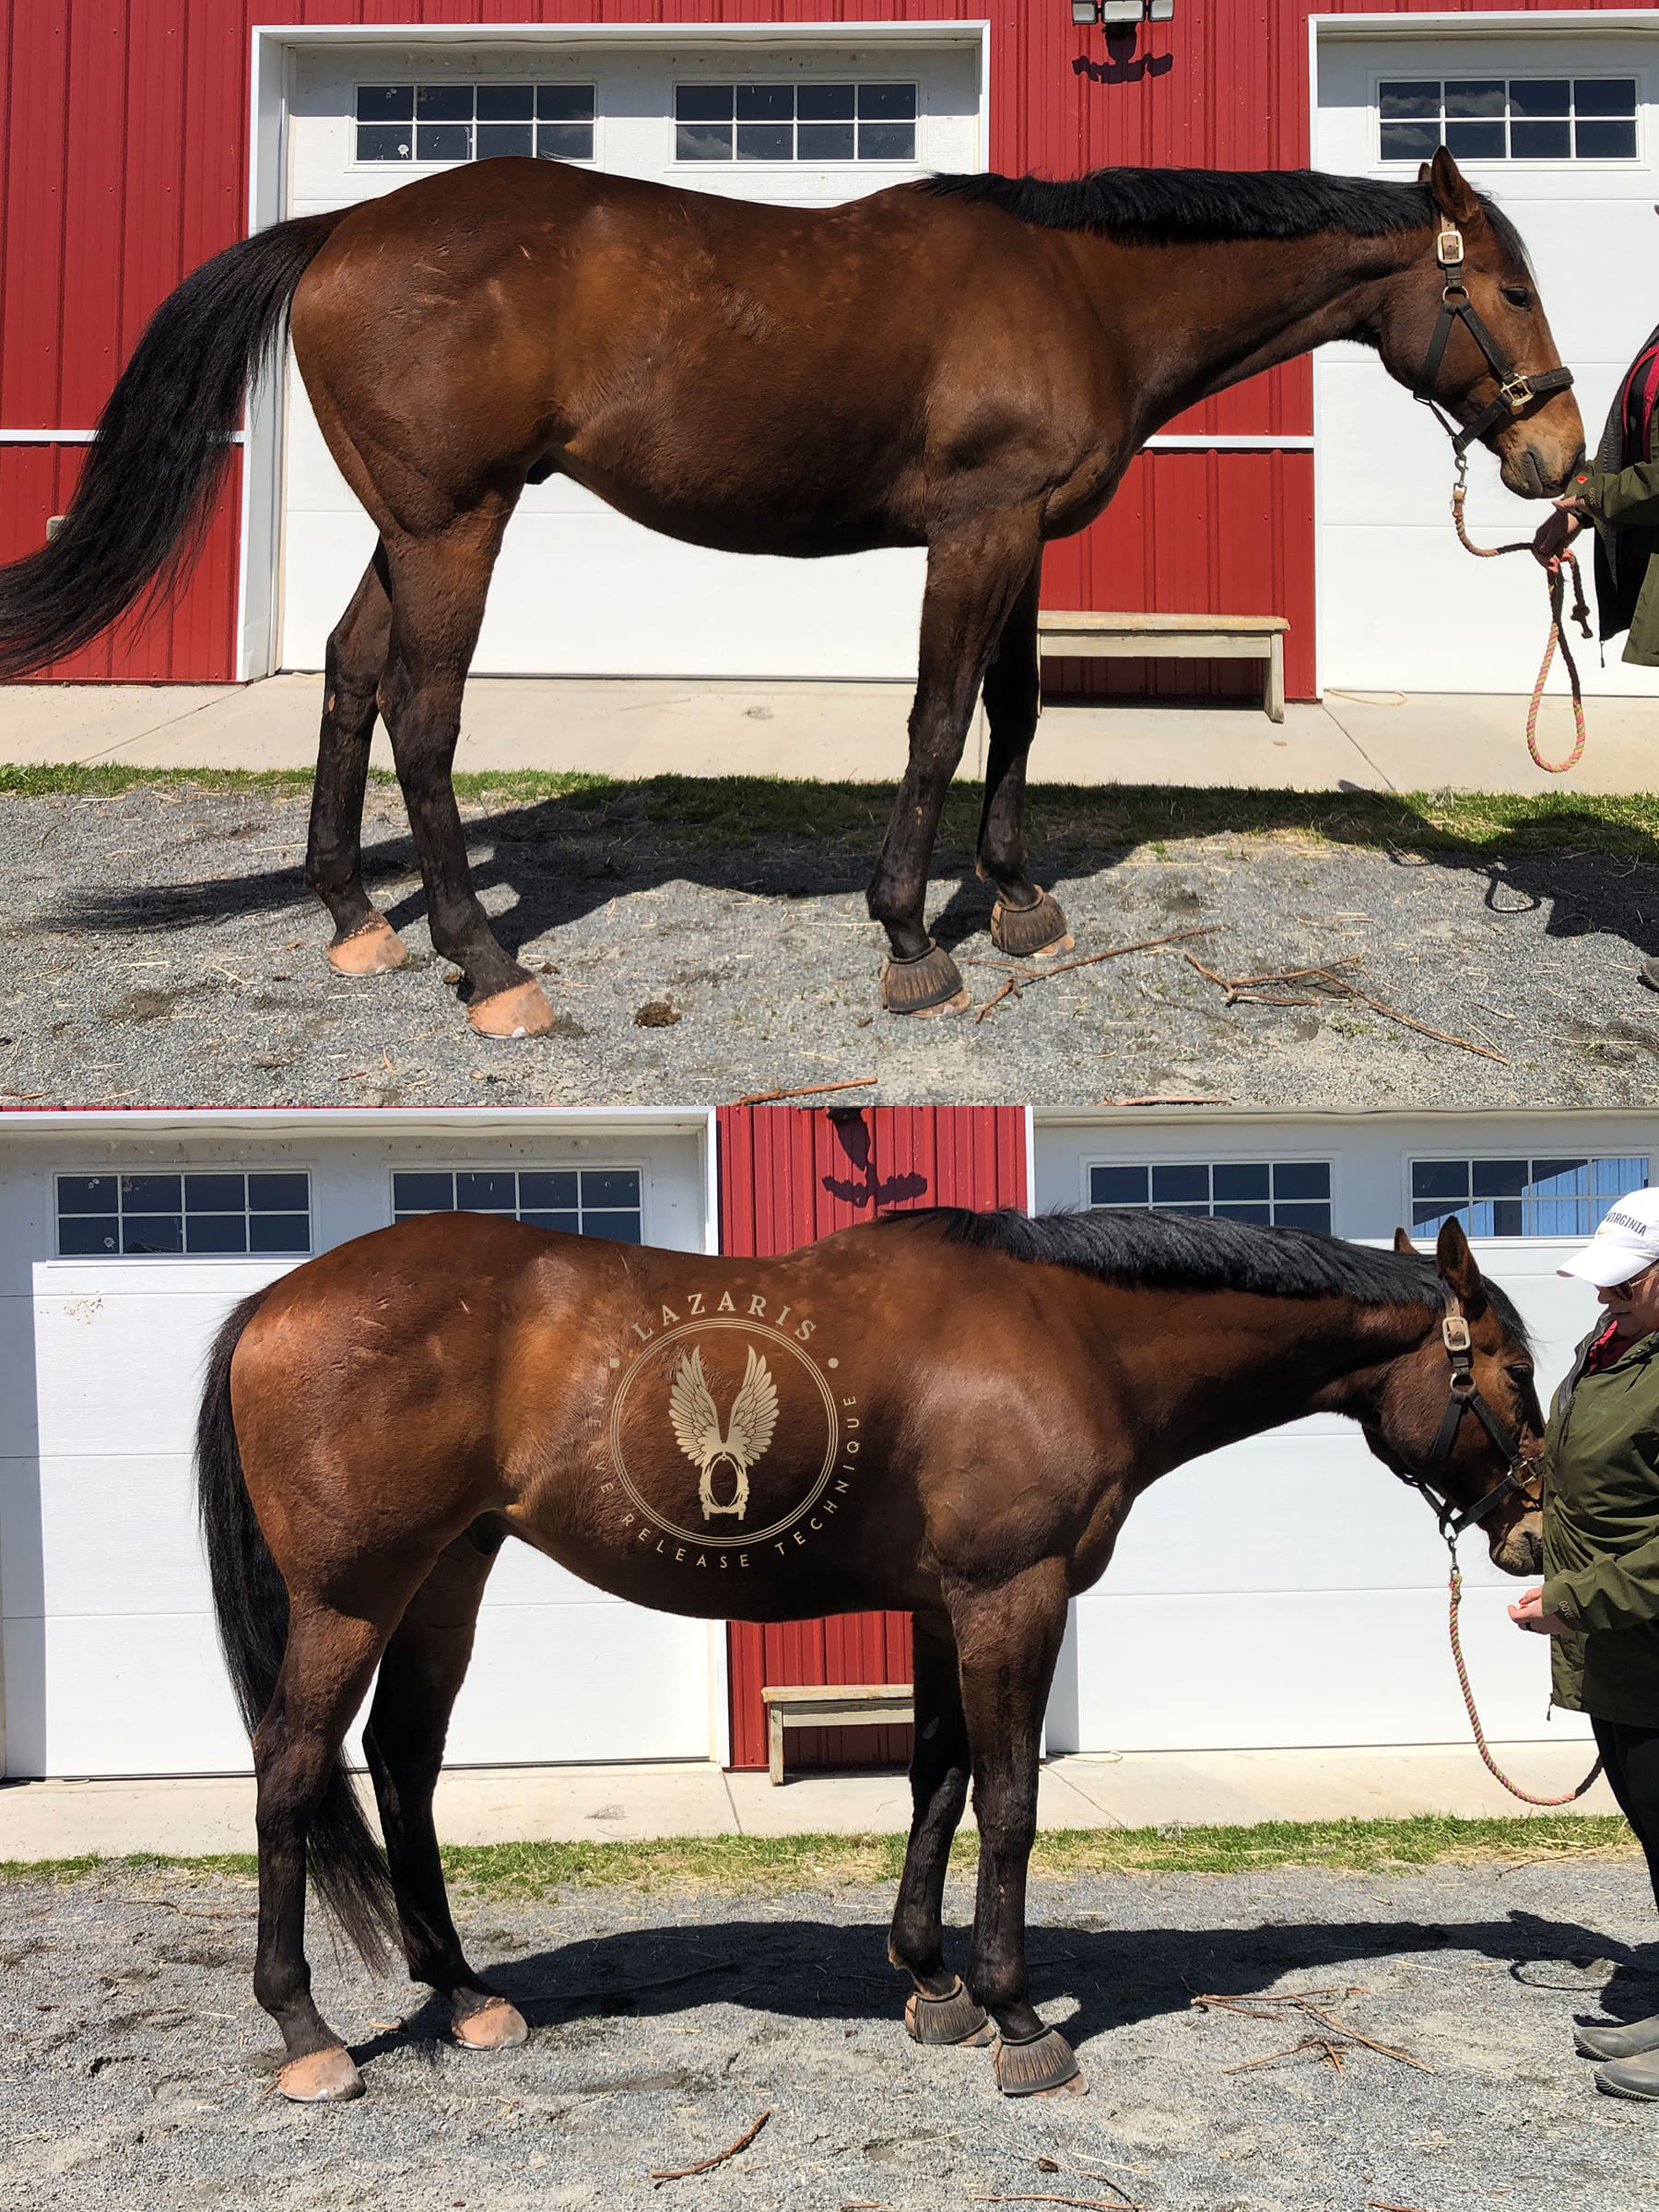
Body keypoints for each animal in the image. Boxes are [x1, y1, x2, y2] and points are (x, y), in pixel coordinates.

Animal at [0, 149, 1580, 1038]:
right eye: (1507, 289)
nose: (1558, 452)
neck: (1080, 288)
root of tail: (341, 225)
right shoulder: (975, 531)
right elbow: (940, 719)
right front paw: (910, 943)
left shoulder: (1024, 534)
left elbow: (1019, 708)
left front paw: (1015, 899)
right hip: (456, 525)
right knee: (423, 714)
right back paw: (488, 967)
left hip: (410, 525)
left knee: (342, 672)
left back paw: (351, 918)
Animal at [194, 1202, 1545, 2104]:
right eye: (1519, 1367)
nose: (1534, 1531)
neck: (1069, 1331)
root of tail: (275, 1302)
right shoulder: (1013, 1599)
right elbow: (1010, 1799)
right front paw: (1017, 2017)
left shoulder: (948, 1610)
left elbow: (936, 1781)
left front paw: (932, 1986)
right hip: (351, 1597)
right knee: (292, 1767)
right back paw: (307, 2032)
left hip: (447, 1575)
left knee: (402, 1761)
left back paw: (466, 1995)